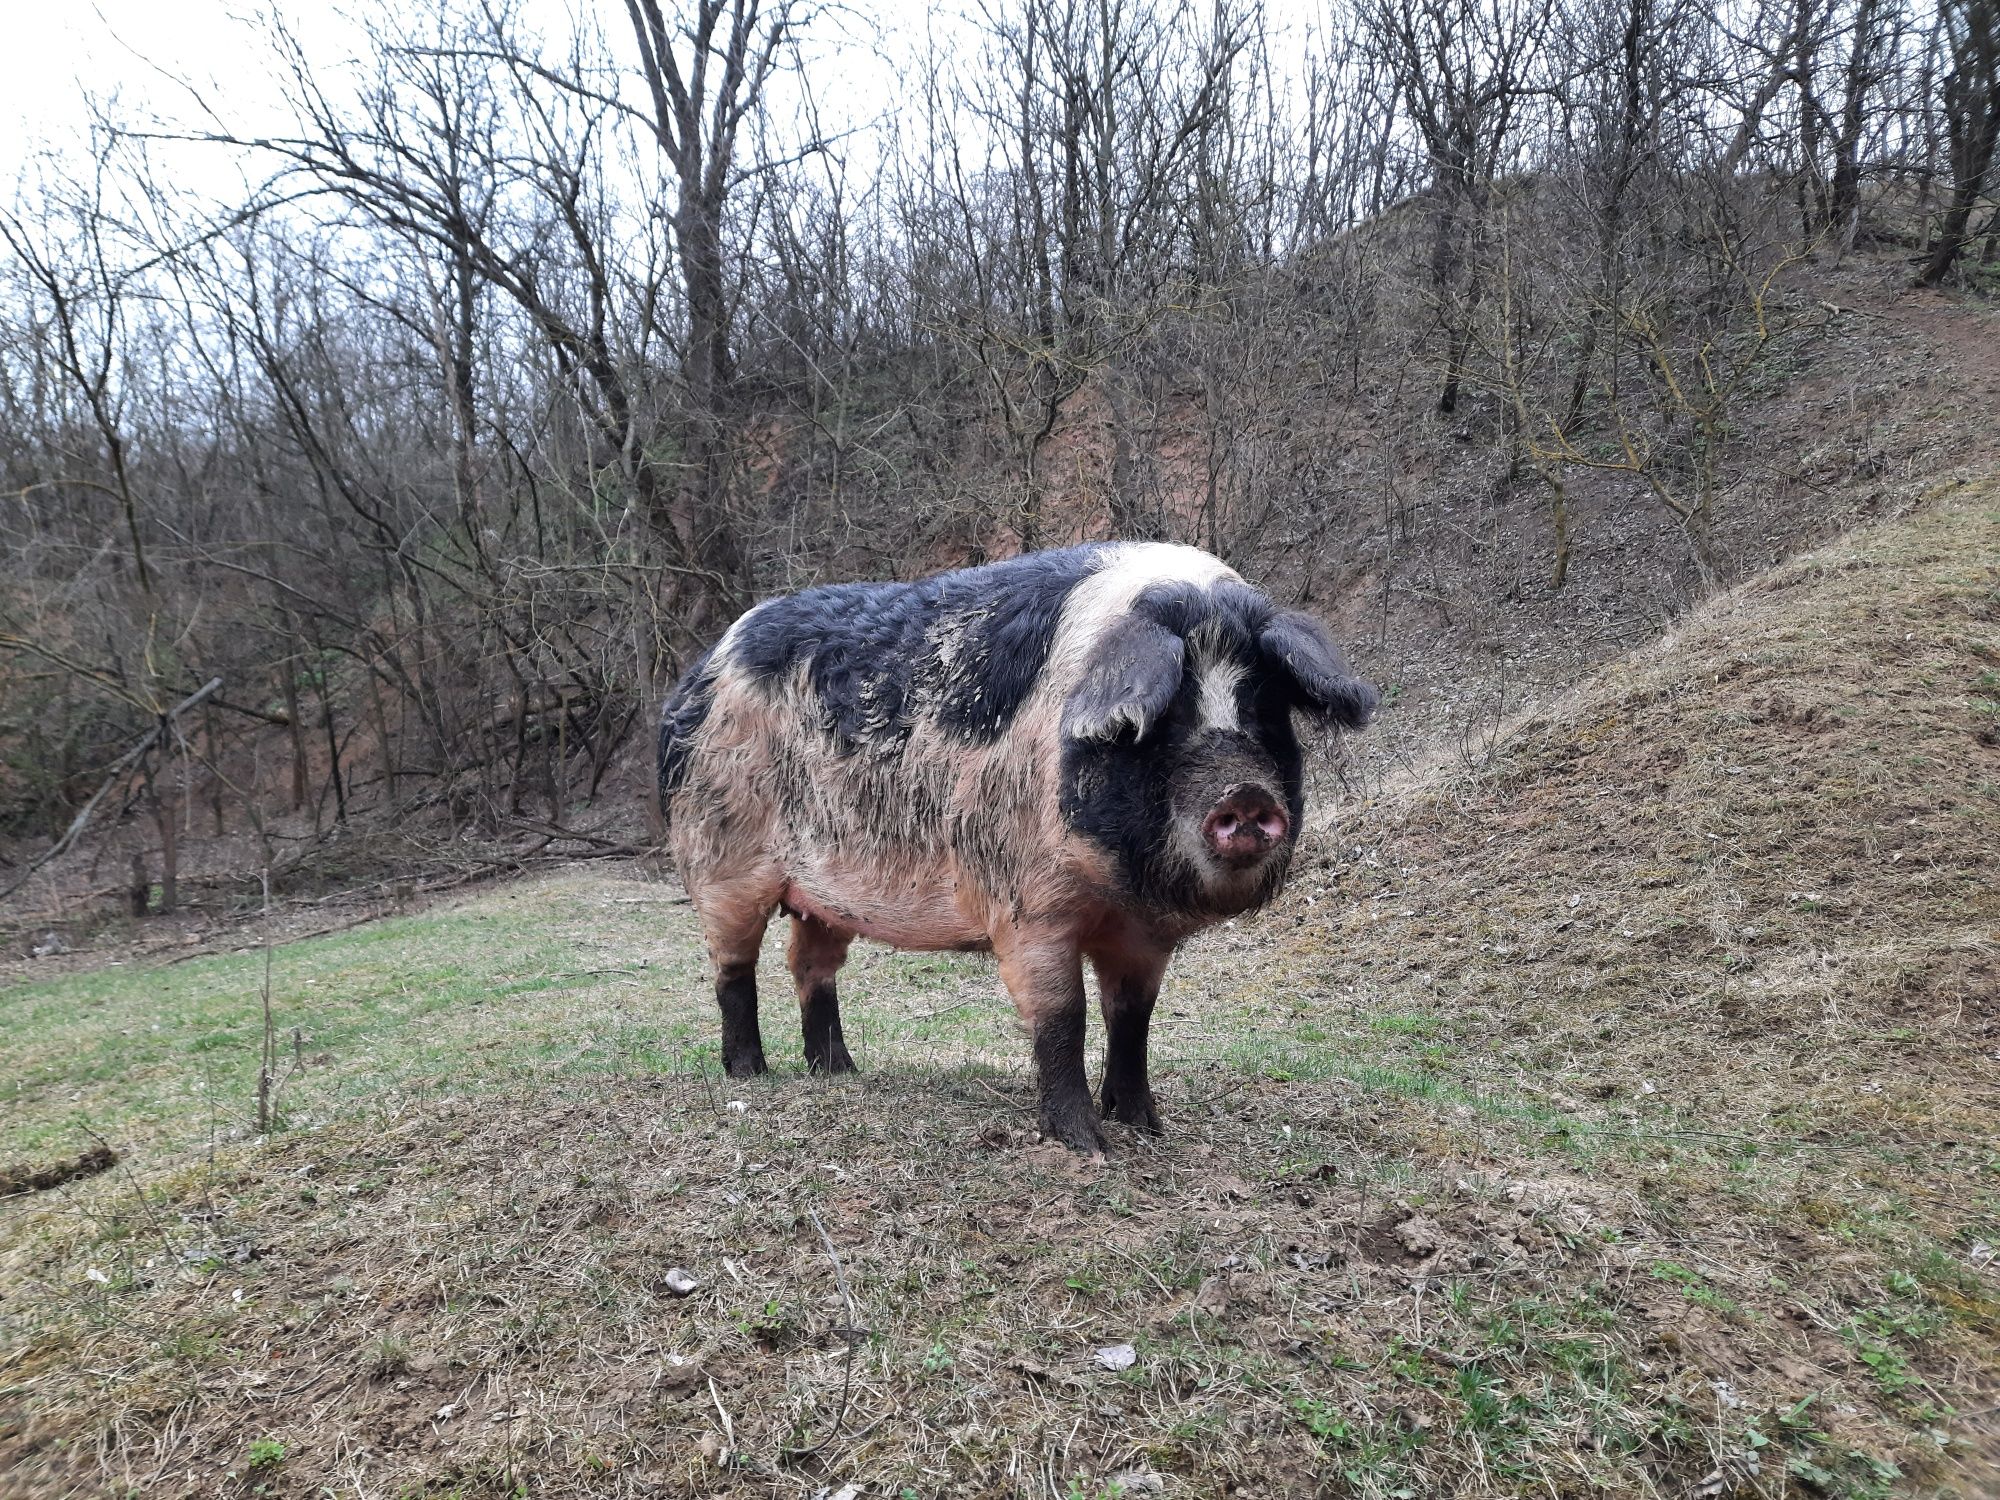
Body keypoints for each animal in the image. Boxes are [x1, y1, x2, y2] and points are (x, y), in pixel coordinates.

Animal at [660, 548, 1376, 1160]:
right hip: (722, 858)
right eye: (1167, 716)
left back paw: (840, 1071)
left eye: (1265, 707)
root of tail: (697, 674)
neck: (1120, 890)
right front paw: (1089, 1146)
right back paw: (751, 1075)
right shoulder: (1029, 905)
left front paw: (1147, 1124)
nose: (1246, 795)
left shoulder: (1143, 935)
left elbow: (1133, 1017)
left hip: (824, 897)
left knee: (811, 966)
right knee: (732, 969)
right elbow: (1064, 1016)